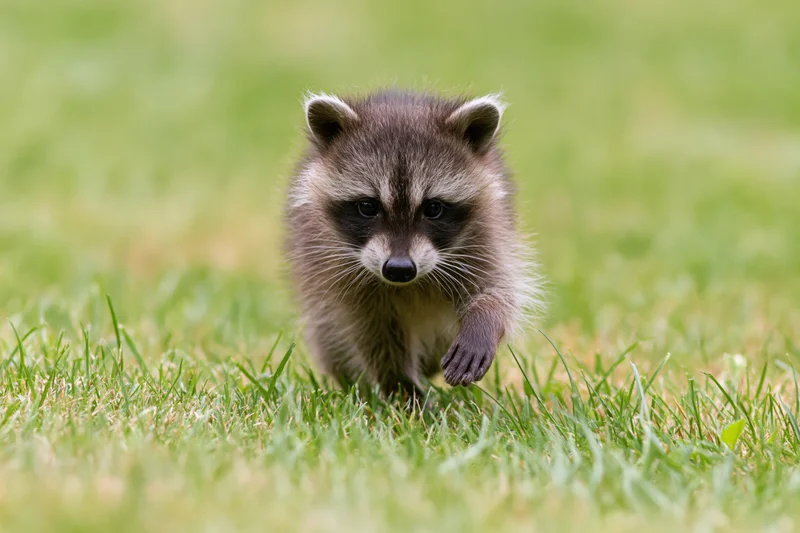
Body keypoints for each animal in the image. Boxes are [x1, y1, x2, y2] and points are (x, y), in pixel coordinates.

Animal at [285, 90, 542, 399]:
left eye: (433, 208)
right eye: (368, 207)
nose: (399, 269)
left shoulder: (486, 235)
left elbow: (499, 290)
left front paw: (483, 323)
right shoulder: (336, 269)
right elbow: (370, 333)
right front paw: (400, 385)